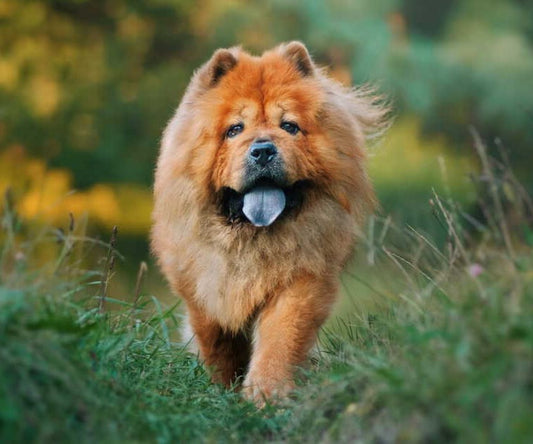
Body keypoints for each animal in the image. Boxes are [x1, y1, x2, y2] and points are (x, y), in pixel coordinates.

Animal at [150, 41, 386, 406]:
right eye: (235, 129)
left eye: (289, 126)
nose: (263, 150)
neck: (252, 240)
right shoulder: (201, 287)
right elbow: (217, 342)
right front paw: (222, 388)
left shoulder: (301, 279)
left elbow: (281, 337)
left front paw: (267, 393)